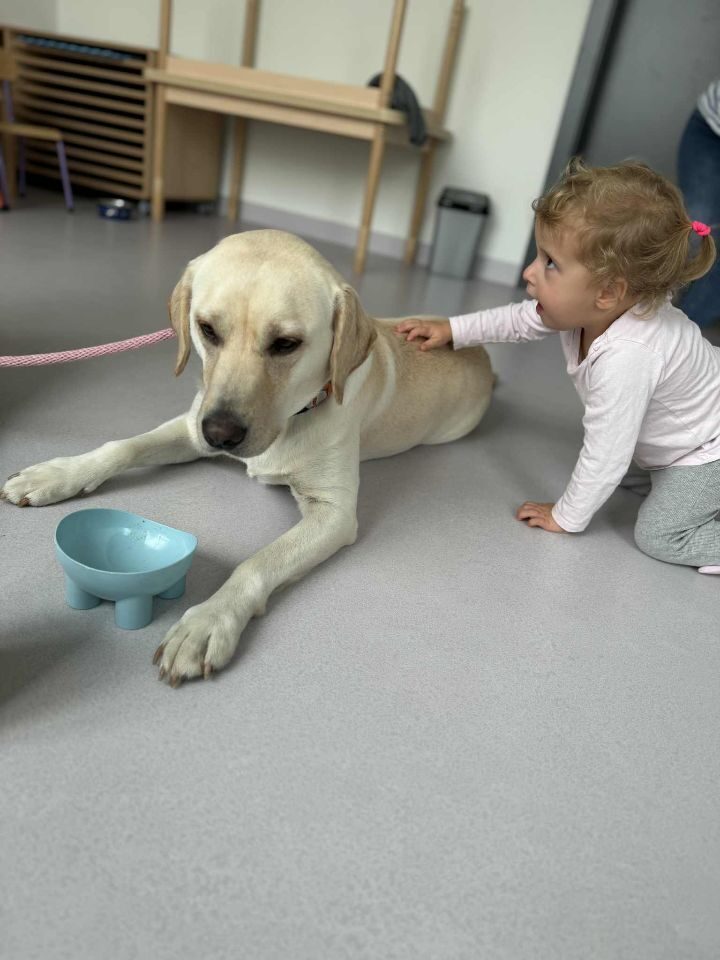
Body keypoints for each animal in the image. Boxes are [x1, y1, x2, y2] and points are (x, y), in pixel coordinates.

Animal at [1, 230, 494, 686]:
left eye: (286, 343)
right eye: (206, 329)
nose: (219, 434)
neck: (295, 414)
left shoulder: (333, 513)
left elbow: (258, 561)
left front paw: (208, 621)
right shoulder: (190, 426)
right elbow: (122, 447)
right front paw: (57, 473)